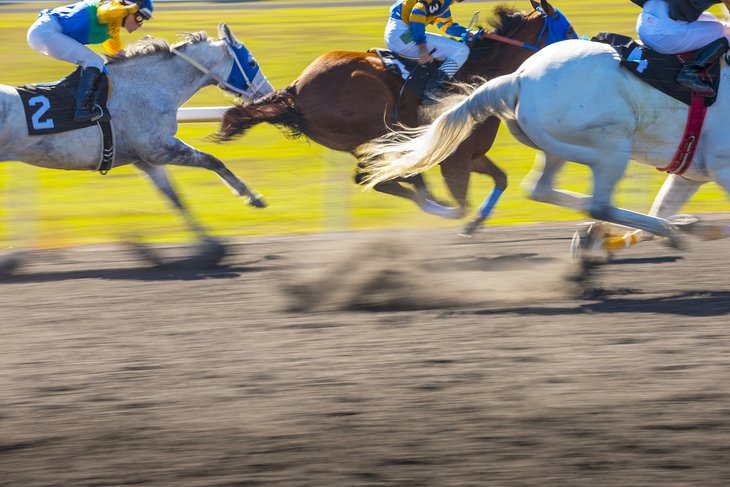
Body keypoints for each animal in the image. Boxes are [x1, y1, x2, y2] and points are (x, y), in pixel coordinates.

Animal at [0, 23, 272, 270]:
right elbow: (212, 160)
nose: (268, 95)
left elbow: (175, 198)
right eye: (251, 63)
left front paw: (213, 248)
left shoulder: (147, 160)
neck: (149, 85)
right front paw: (252, 197)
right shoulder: (159, 148)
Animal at [215, 0, 576, 235]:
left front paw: (475, 222)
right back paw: (425, 195)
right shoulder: (455, 159)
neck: (483, 76)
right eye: (566, 28)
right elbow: (460, 203)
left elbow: (501, 179)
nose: (582, 48)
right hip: (376, 127)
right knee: (375, 178)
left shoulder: (472, 155)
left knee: (379, 178)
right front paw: (453, 212)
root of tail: (296, 89)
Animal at [356, 40, 728, 254]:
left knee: (543, 189)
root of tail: (517, 78)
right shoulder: (722, 167)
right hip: (610, 145)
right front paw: (690, 227)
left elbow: (663, 203)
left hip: (557, 148)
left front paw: (691, 226)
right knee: (599, 203)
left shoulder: (690, 173)